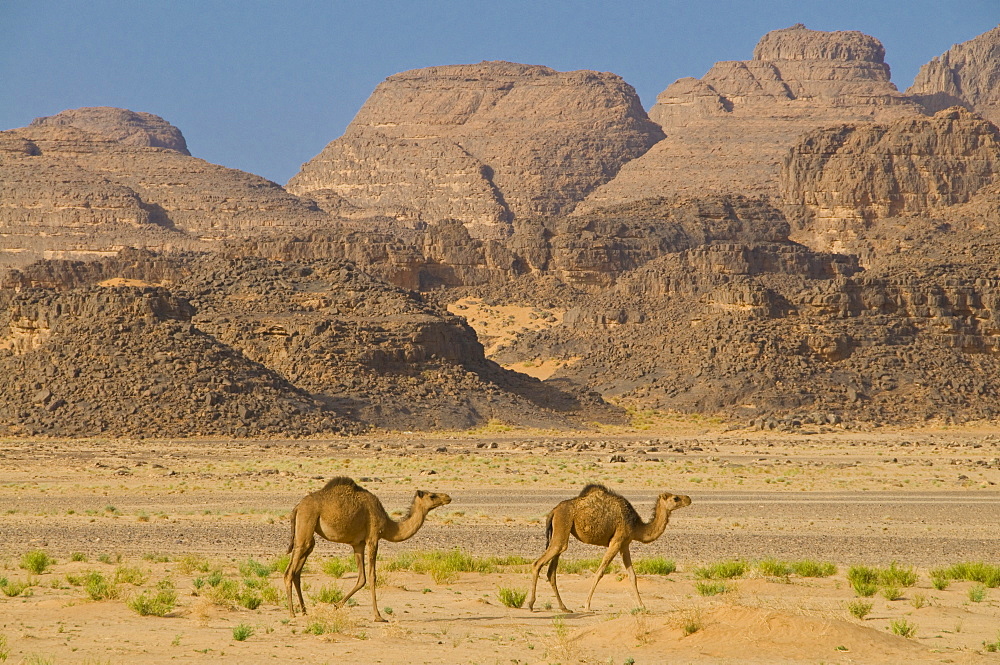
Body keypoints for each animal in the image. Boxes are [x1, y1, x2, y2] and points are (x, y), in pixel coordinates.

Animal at [284, 474, 452, 620]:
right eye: (432, 496)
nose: (448, 497)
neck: (389, 525)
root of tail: (297, 507)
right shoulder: (373, 538)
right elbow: (372, 576)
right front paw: (378, 616)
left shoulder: (358, 544)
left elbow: (362, 578)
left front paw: (336, 605)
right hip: (306, 522)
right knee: (289, 572)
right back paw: (292, 613)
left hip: (307, 534)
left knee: (298, 571)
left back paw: (304, 611)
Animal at [528, 482, 692, 612]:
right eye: (675, 498)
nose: (689, 498)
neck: (636, 526)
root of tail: (554, 511)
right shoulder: (617, 541)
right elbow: (600, 572)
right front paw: (587, 605)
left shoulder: (625, 544)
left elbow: (632, 576)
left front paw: (642, 605)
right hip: (562, 525)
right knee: (538, 563)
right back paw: (531, 604)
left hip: (561, 533)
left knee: (551, 571)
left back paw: (564, 608)